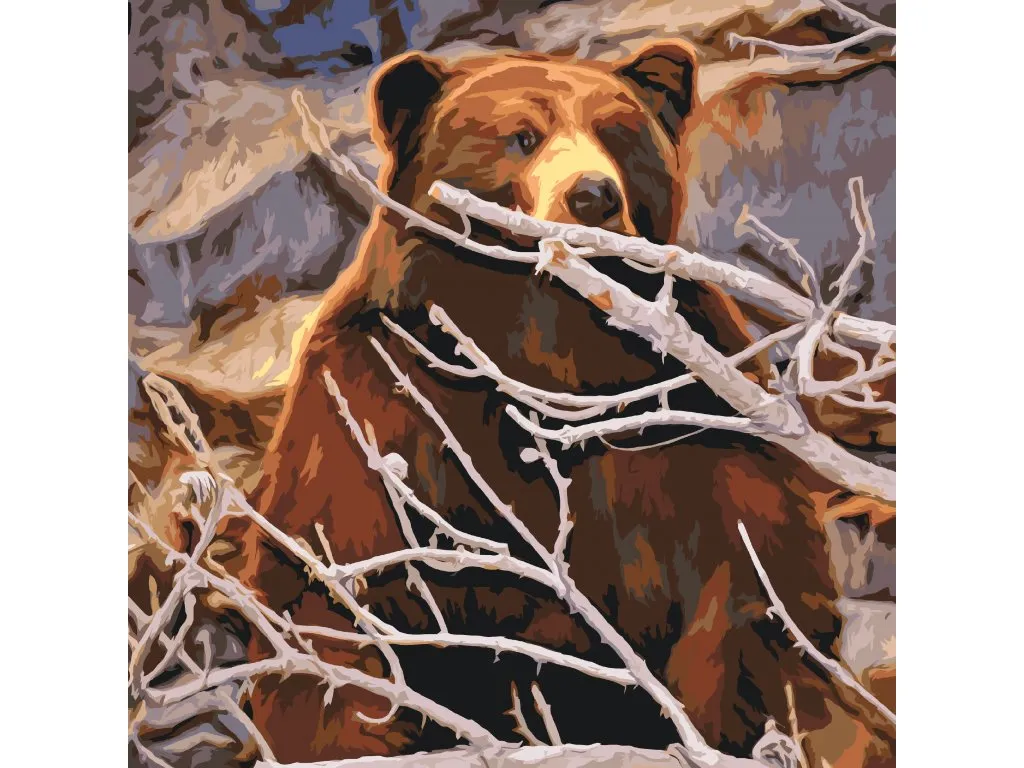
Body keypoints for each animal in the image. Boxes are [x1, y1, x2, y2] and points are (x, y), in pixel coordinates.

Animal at [219, 42, 896, 767]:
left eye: (615, 133)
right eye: (522, 135)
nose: (593, 195)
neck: (544, 339)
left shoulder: (690, 410)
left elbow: (751, 579)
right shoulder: (373, 398)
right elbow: (336, 584)